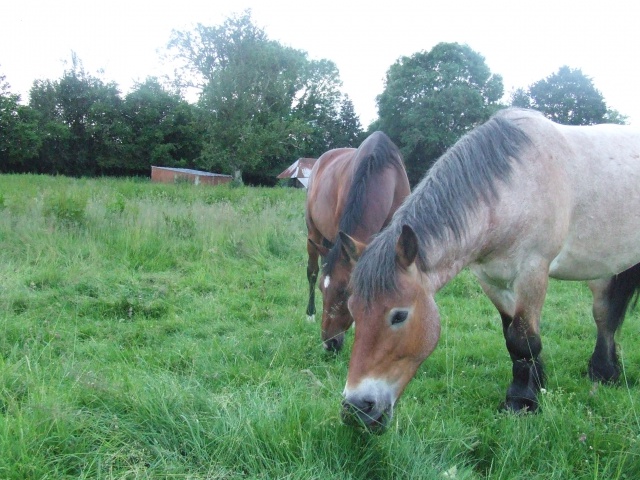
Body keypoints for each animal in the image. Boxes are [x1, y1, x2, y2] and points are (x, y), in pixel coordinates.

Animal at [304, 131, 410, 352]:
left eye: (345, 291)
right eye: (322, 289)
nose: (329, 344)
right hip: (313, 233)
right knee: (312, 271)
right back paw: (309, 313)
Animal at [342, 109, 640, 432]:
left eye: (399, 316)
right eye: (353, 311)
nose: (356, 408)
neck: (515, 187)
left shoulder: (532, 272)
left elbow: (524, 340)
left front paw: (521, 402)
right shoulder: (490, 279)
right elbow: (512, 338)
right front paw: (534, 386)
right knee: (605, 314)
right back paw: (604, 371)